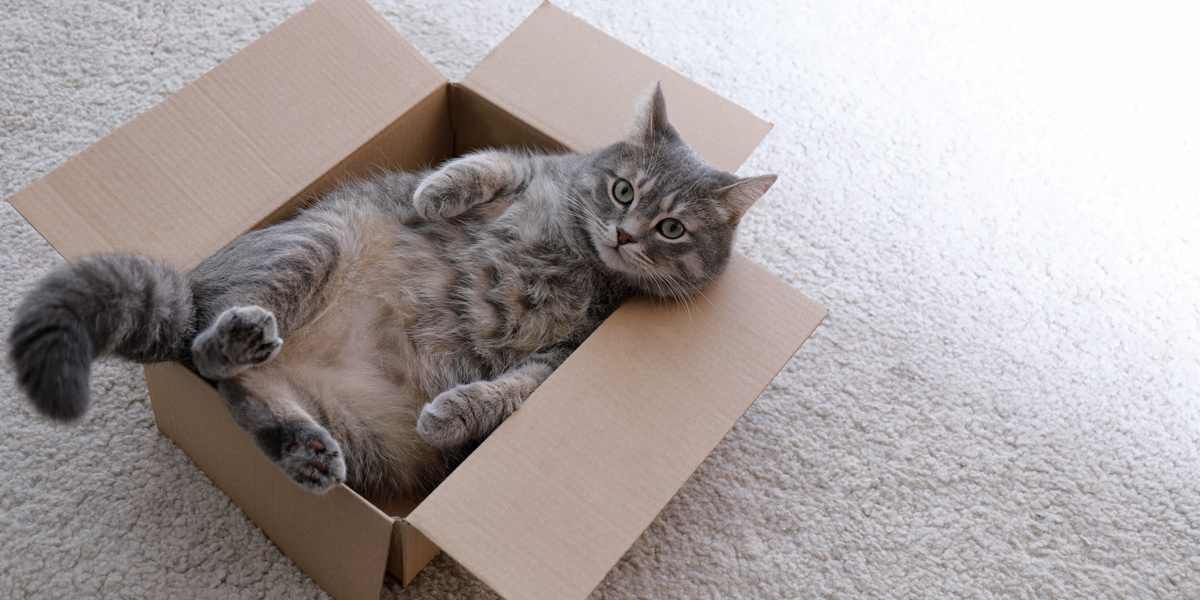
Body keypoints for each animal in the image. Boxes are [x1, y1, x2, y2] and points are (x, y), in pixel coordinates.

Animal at [7, 85, 777, 501]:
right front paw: (434, 194)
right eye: (623, 190)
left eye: (671, 227)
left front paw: (457, 411)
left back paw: (303, 449)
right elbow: (485, 163)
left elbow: (510, 391)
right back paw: (240, 337)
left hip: (356, 428)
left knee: (242, 393)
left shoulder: (564, 354)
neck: (583, 257)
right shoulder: (533, 166)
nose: (625, 233)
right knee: (206, 350)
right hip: (316, 245)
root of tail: (194, 286)